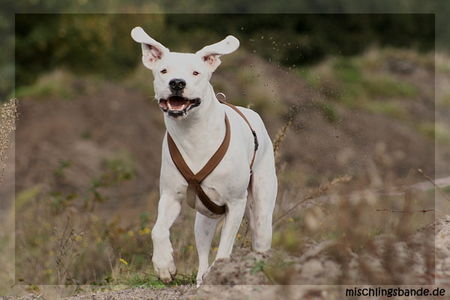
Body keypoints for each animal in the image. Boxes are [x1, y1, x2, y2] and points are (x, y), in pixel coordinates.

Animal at [130, 27, 278, 284]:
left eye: (196, 72)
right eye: (164, 70)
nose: (177, 83)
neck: (193, 134)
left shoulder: (236, 203)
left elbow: (225, 248)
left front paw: (222, 272)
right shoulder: (170, 196)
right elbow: (158, 230)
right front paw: (164, 265)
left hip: (261, 212)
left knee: (260, 242)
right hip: (203, 220)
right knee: (202, 249)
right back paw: (201, 279)